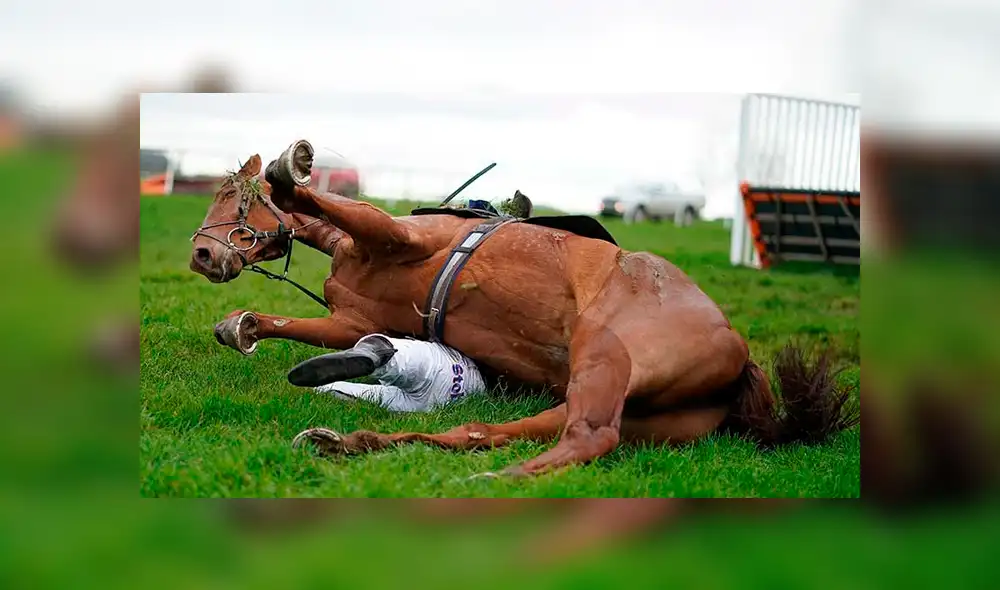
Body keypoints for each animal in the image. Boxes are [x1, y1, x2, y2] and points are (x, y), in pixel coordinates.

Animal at [189, 140, 859, 477]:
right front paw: (240, 327)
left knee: (589, 438)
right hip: (639, 412)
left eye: (230, 193)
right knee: (496, 431)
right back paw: (354, 442)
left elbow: (325, 200)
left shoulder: (397, 235)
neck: (353, 250)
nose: (201, 254)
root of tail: (740, 355)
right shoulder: (353, 322)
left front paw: (289, 174)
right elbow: (303, 329)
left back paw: (492, 481)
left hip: (605, 356)